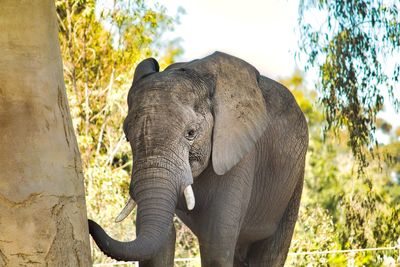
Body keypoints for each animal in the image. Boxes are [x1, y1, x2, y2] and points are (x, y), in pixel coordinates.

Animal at [89, 51, 310, 266]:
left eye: (191, 133)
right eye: (127, 136)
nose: (90, 222)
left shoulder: (240, 152)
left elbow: (217, 243)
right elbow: (161, 243)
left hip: (294, 181)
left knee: (270, 254)